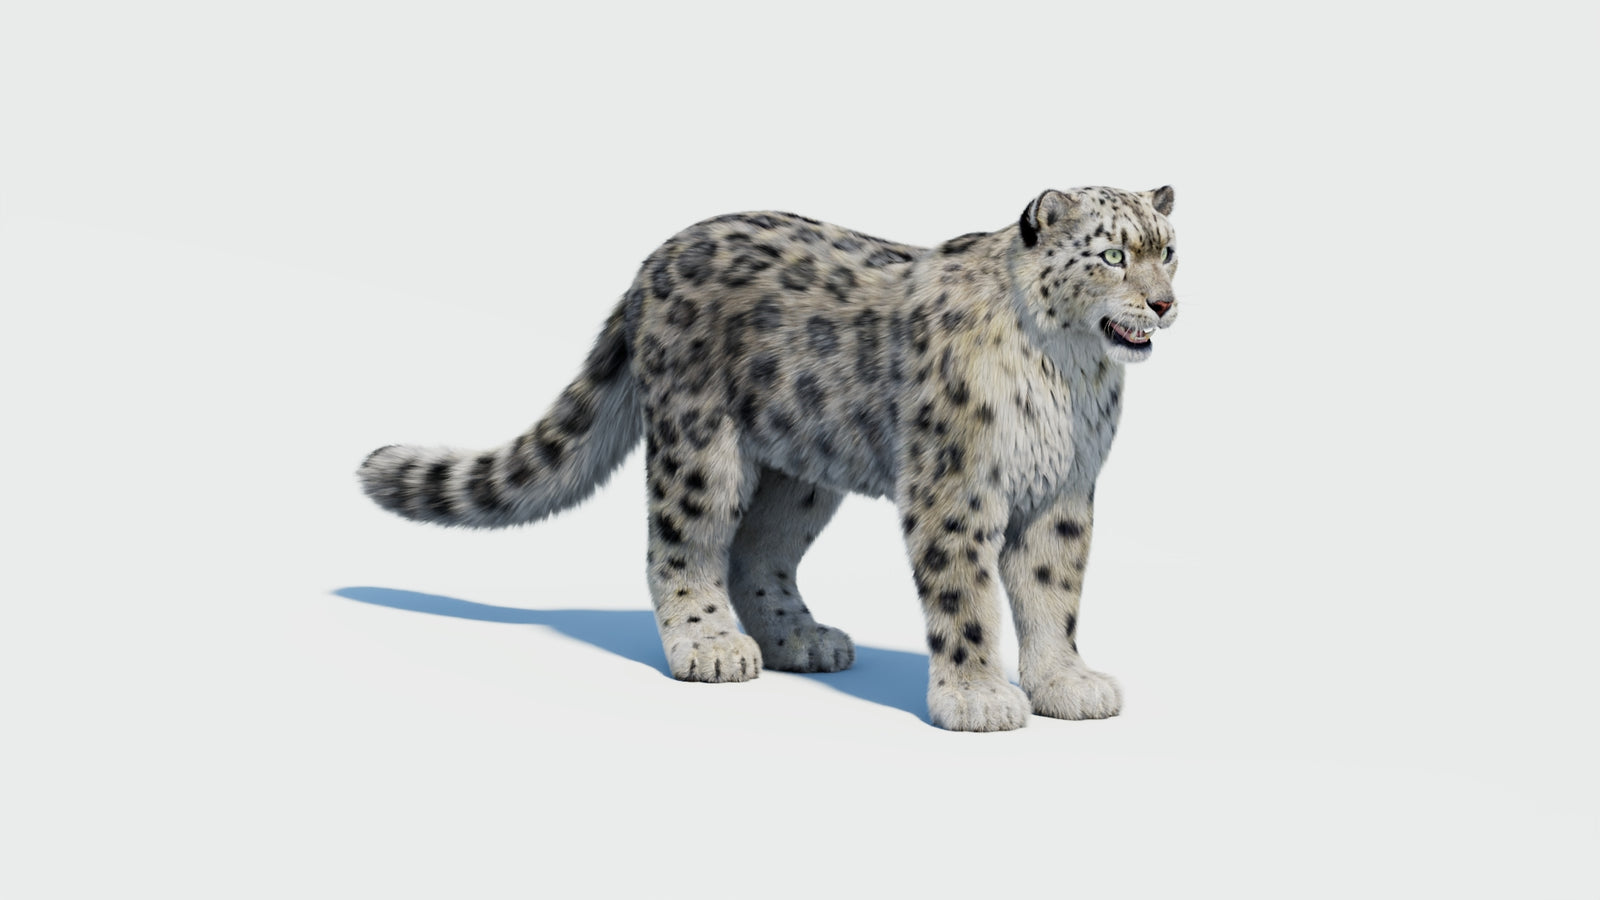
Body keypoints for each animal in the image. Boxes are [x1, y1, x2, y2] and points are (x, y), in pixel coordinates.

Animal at [358, 185, 1179, 731]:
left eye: (1167, 250)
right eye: (1112, 256)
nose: (1165, 304)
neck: (1067, 375)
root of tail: (652, 261)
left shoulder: (1063, 492)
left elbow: (1053, 592)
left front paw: (1067, 684)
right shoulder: (956, 487)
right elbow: (966, 596)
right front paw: (976, 698)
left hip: (801, 470)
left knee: (759, 548)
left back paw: (799, 638)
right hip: (701, 445)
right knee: (682, 544)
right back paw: (711, 645)